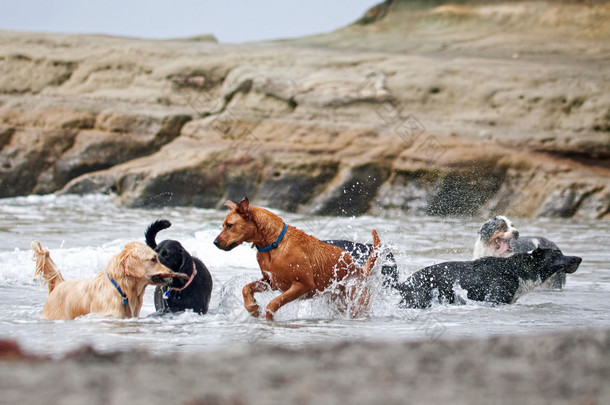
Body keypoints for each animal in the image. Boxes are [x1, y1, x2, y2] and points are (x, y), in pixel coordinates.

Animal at [211, 197, 378, 320]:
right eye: (223, 225)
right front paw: (252, 307)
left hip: (357, 301)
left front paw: (267, 317)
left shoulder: (303, 284)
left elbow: (273, 303)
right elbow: (246, 288)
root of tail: (361, 270)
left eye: (229, 225)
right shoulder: (271, 282)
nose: (215, 242)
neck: (273, 245)